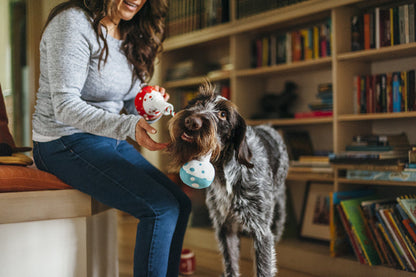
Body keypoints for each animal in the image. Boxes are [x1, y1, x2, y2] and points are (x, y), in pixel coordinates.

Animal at [167, 82, 288, 276]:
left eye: (223, 114)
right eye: (198, 102)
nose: (192, 121)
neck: (224, 173)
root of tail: (268, 126)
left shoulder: (262, 232)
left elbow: (264, 268)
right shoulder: (225, 227)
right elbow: (230, 264)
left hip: (277, 217)